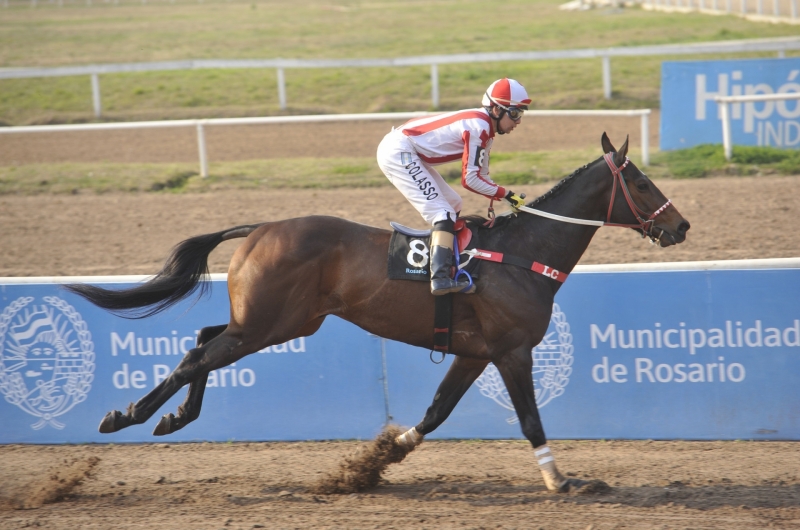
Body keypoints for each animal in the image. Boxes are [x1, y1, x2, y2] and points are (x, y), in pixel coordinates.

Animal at [65, 135, 688, 490]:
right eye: (639, 180)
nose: (680, 226)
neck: (523, 253)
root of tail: (261, 227)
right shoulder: (513, 351)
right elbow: (531, 419)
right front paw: (562, 480)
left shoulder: (475, 353)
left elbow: (436, 413)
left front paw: (376, 461)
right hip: (271, 324)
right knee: (197, 357)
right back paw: (127, 415)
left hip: (272, 322)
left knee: (203, 340)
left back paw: (174, 417)